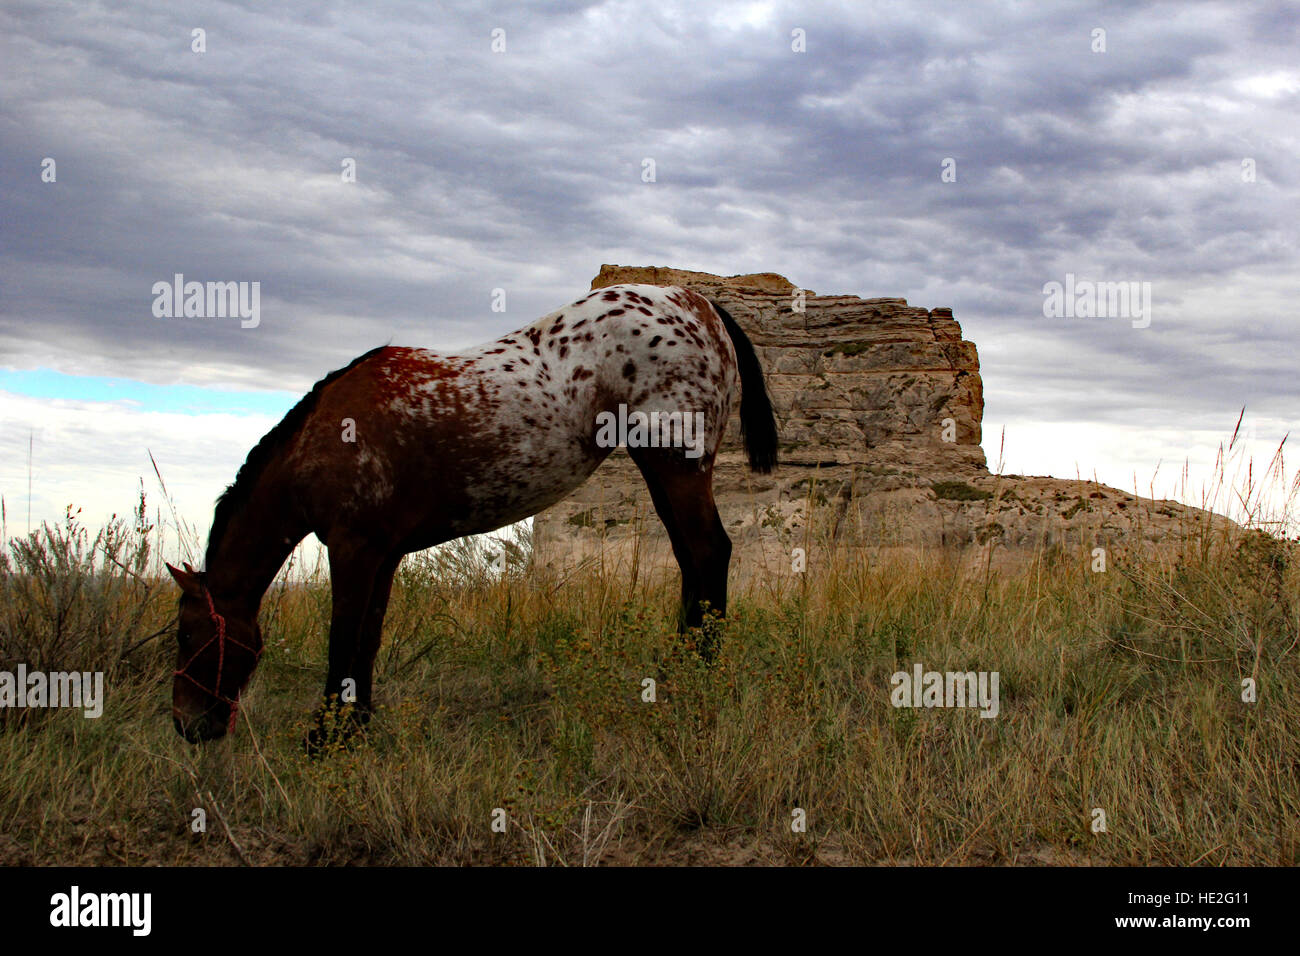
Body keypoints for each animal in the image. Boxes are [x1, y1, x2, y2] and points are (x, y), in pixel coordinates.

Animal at [172, 283, 780, 749]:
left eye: (188, 635)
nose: (187, 727)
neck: (327, 435)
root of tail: (697, 302)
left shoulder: (352, 550)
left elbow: (342, 638)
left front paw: (323, 740)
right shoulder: (382, 555)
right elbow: (367, 637)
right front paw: (357, 730)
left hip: (676, 465)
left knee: (709, 553)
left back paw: (695, 681)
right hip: (662, 472)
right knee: (690, 561)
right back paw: (677, 670)